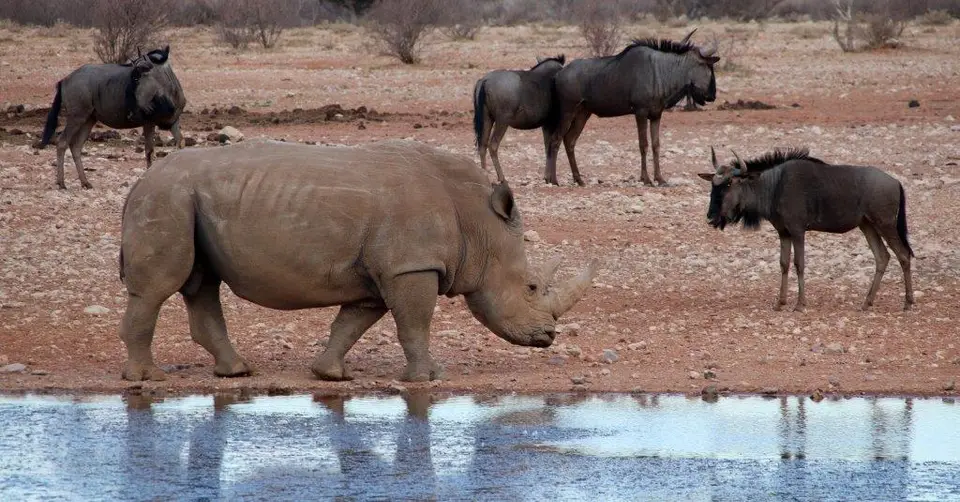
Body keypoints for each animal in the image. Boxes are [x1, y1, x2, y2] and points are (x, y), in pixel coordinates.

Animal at [118, 139, 598, 382]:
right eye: (531, 286)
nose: (548, 337)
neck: (480, 224)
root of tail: (140, 180)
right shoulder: (411, 265)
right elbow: (414, 324)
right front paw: (427, 378)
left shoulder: (384, 272)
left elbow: (354, 322)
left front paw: (330, 374)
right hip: (168, 198)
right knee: (158, 288)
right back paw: (147, 379)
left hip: (184, 199)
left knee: (201, 284)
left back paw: (235, 372)